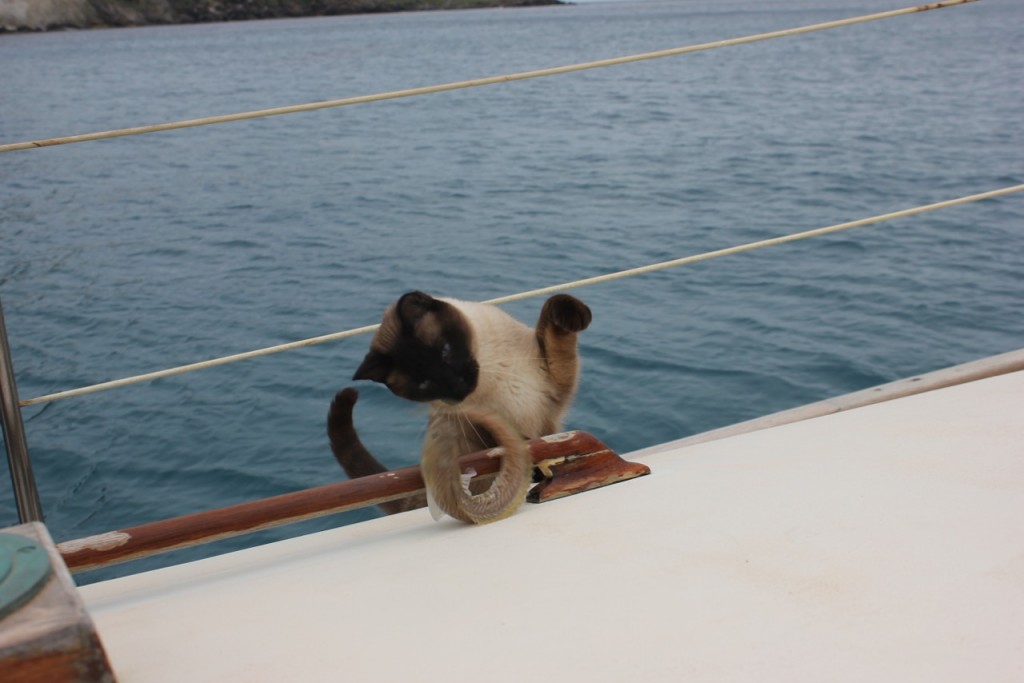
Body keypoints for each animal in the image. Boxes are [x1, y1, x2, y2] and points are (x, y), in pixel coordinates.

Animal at [327, 290, 593, 520]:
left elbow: (553, 311)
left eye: (446, 351)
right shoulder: (492, 428)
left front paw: (575, 316)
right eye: (424, 383)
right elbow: (525, 445)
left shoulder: (554, 386)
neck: (491, 373)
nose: (458, 387)